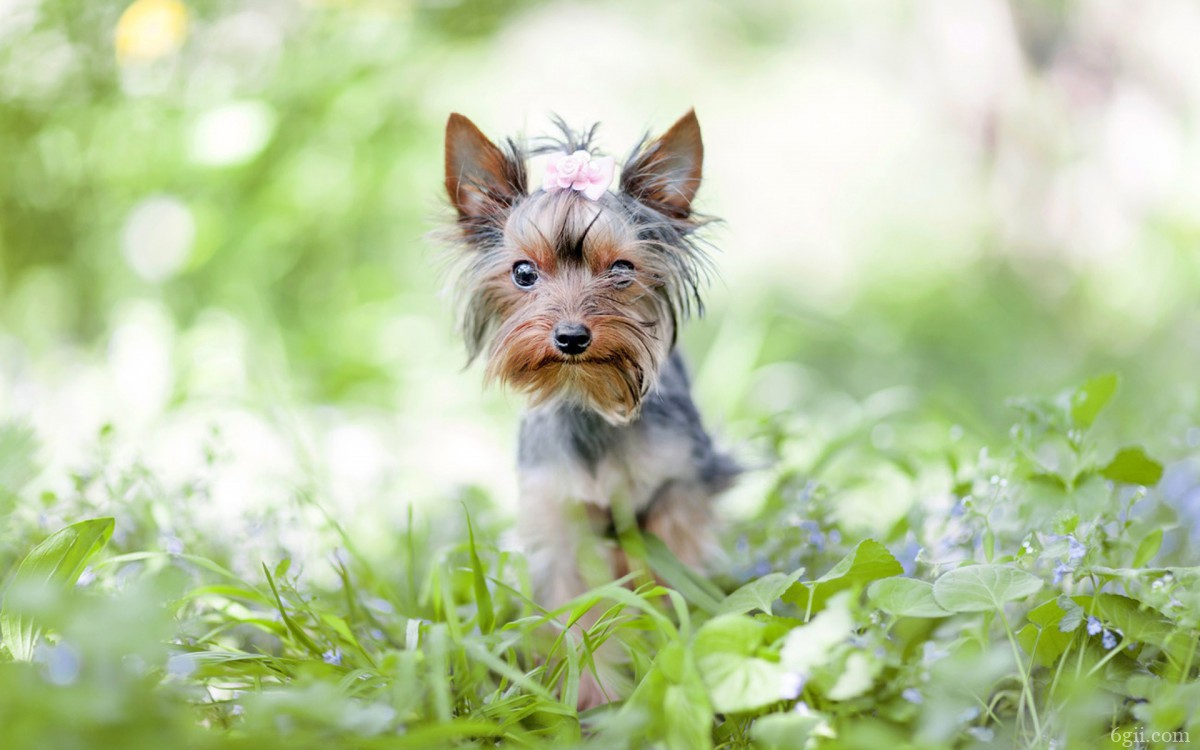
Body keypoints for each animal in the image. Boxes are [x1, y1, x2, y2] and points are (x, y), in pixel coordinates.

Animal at [444, 109, 739, 700]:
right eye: (524, 273)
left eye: (621, 269)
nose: (571, 336)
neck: (590, 397)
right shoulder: (559, 520)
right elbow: (575, 615)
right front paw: (589, 696)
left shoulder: (675, 494)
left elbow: (668, 583)